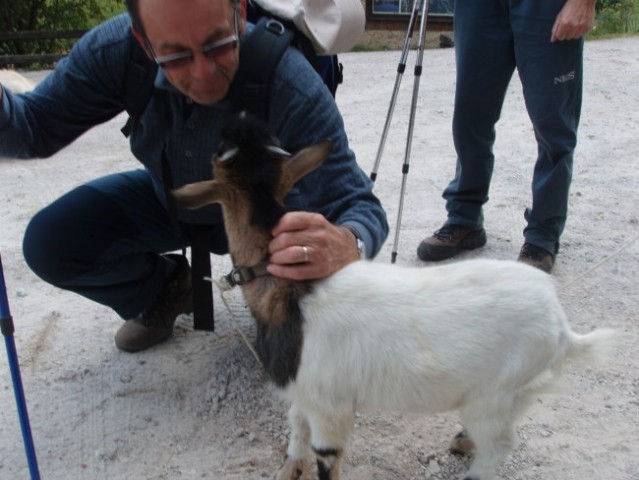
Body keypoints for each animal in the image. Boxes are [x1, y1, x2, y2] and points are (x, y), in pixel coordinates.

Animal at [172, 112, 616, 480]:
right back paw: (463, 440)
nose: (239, 115)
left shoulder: (330, 408)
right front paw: (286, 472)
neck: (293, 294)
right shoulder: (304, 396)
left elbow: (324, 457)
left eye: (217, 151)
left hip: (495, 393)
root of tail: (562, 329)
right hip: (515, 392)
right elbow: (294, 435)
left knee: (501, 446)